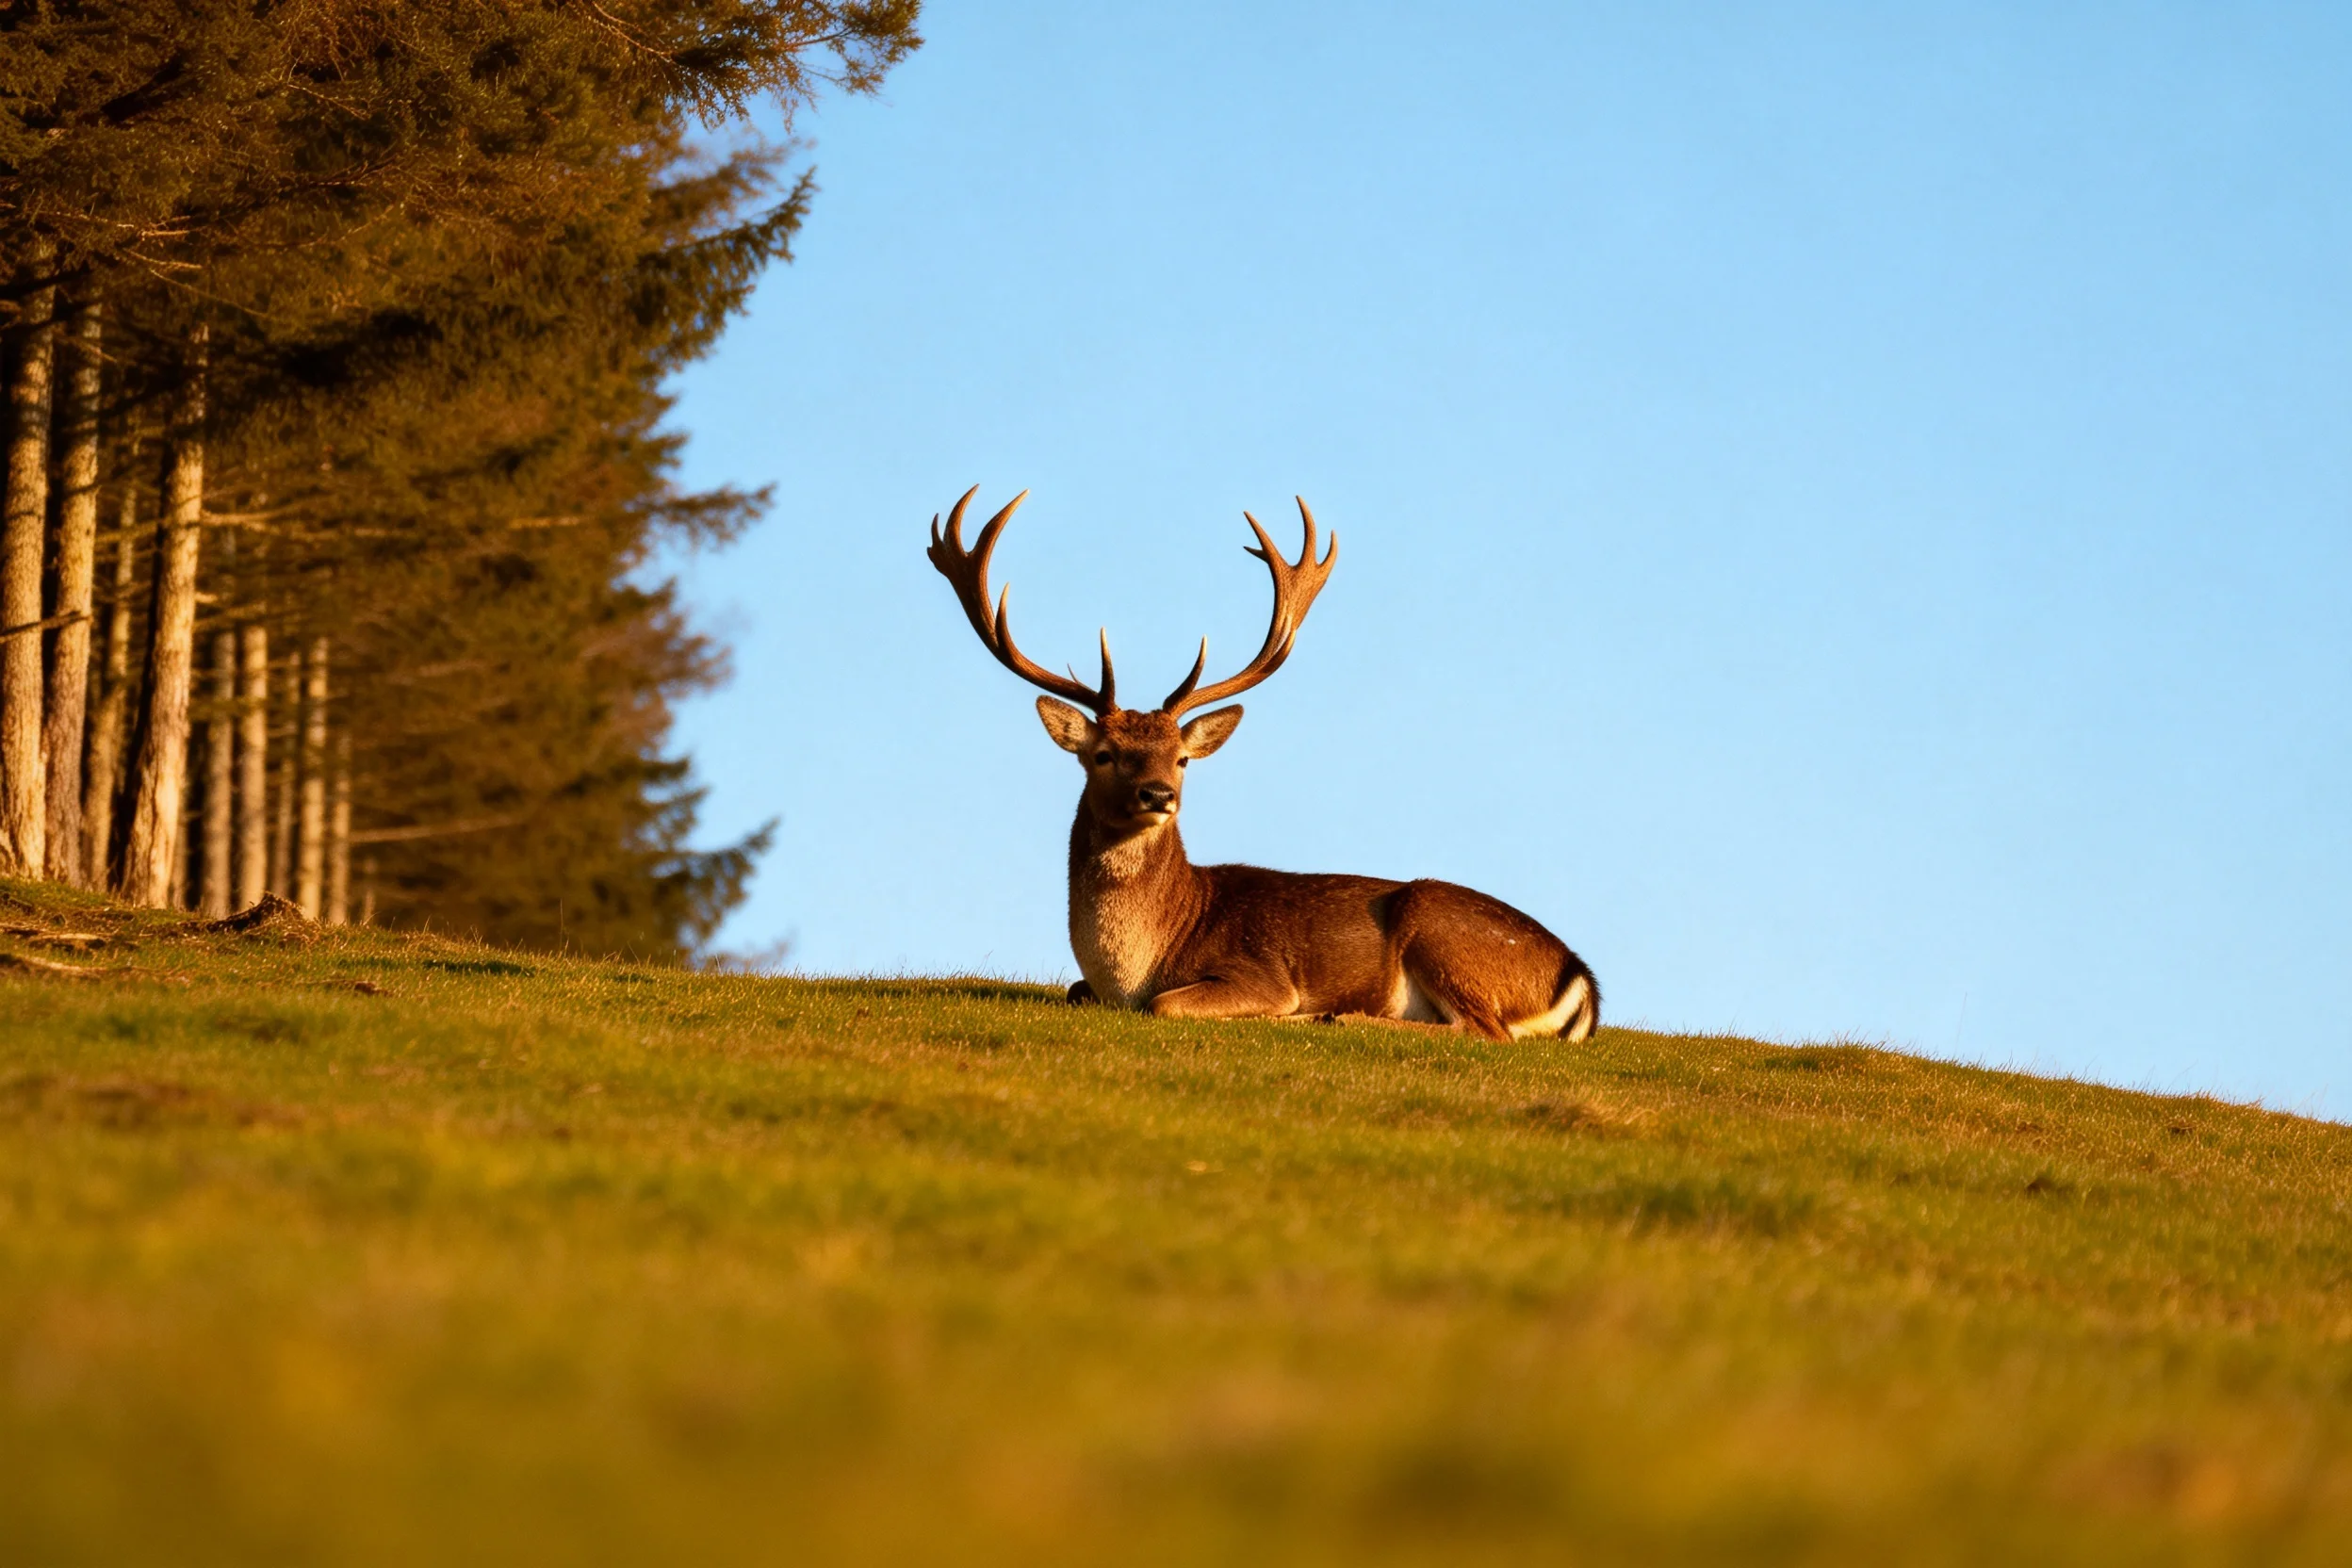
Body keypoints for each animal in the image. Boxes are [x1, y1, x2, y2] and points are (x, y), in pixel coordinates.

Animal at [927, 488, 1600, 1043]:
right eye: (1103, 754)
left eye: (1183, 759)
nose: (1158, 794)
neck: (1137, 966)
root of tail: (1581, 981)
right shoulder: (1087, 986)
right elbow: (1072, 991)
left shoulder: (1258, 973)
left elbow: (1168, 1004)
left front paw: (1289, 1012)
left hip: (1440, 931)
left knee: (1486, 1030)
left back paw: (1336, 1015)